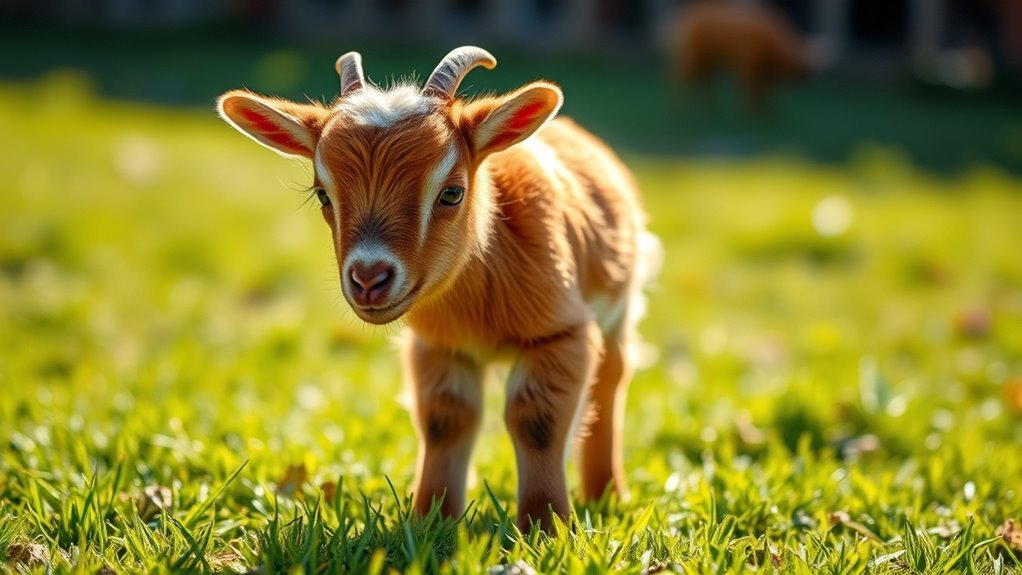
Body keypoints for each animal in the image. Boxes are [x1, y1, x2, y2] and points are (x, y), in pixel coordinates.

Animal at [217, 46, 658, 530]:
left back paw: (607, 495)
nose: (369, 278)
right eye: (323, 195)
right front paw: (433, 520)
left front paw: (545, 527)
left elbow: (536, 421)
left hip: (621, 310)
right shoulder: (437, 345)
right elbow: (446, 419)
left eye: (451, 193)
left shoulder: (562, 332)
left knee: (611, 380)